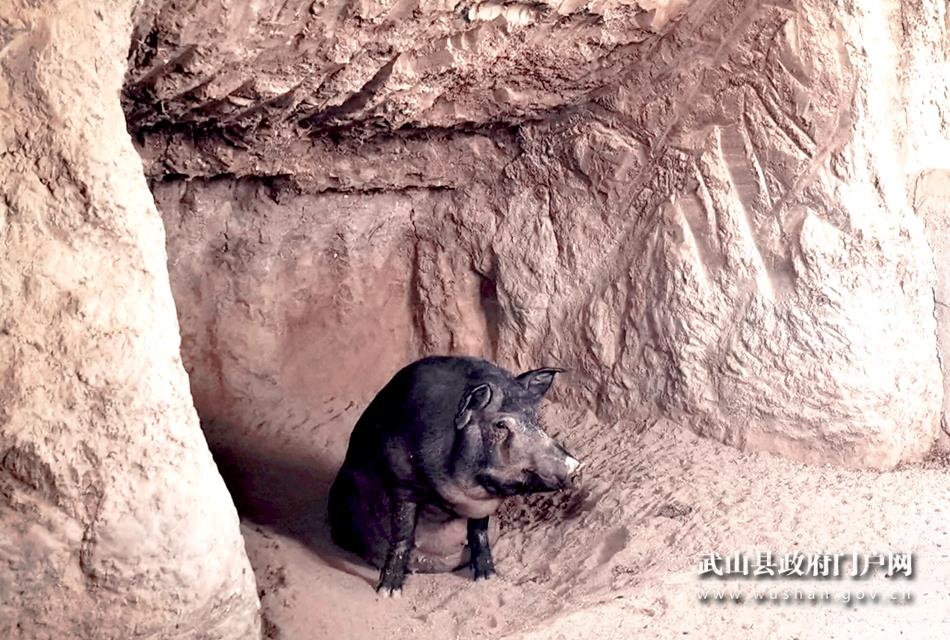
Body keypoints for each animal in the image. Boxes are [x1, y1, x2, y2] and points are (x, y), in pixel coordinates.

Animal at [328, 356, 580, 596]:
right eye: (500, 425)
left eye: (536, 419)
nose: (575, 465)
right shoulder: (401, 483)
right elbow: (403, 535)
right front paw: (389, 592)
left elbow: (479, 532)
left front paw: (487, 577)